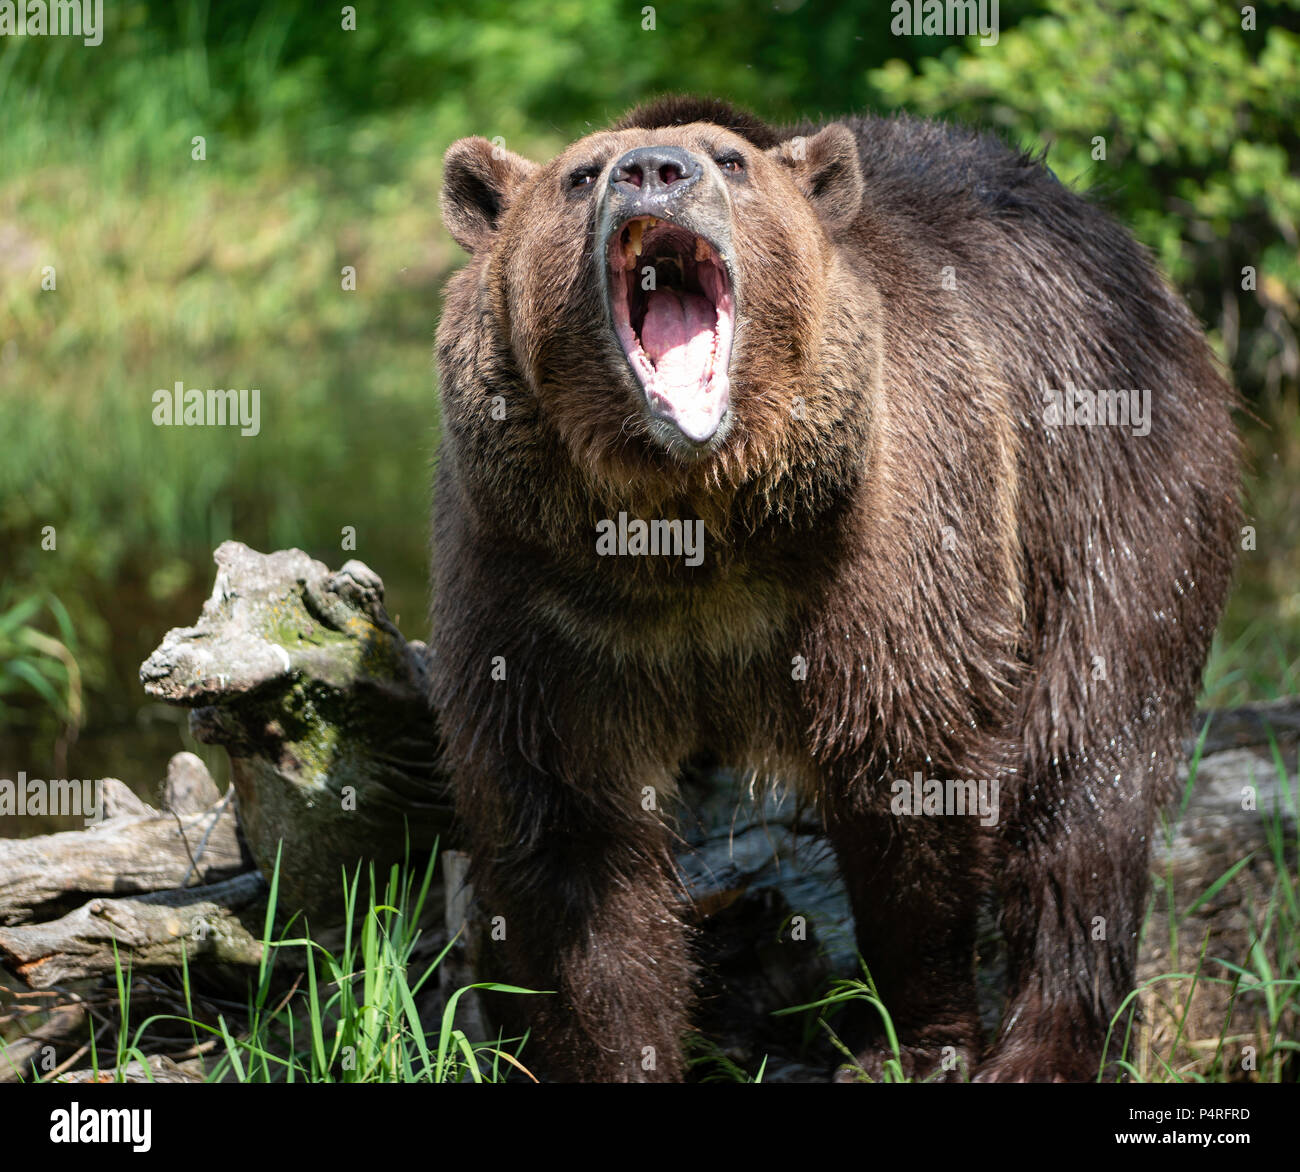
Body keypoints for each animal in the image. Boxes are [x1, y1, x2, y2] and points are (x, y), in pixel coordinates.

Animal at [428, 96, 1237, 1086]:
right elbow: (575, 844)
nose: (654, 171)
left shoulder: (883, 556)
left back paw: (1048, 1042)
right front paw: (617, 1052)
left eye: (729, 161)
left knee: (1086, 766)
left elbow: (911, 784)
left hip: (1111, 481)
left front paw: (915, 1041)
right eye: (581, 174)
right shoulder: (542, 599)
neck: (694, 524)